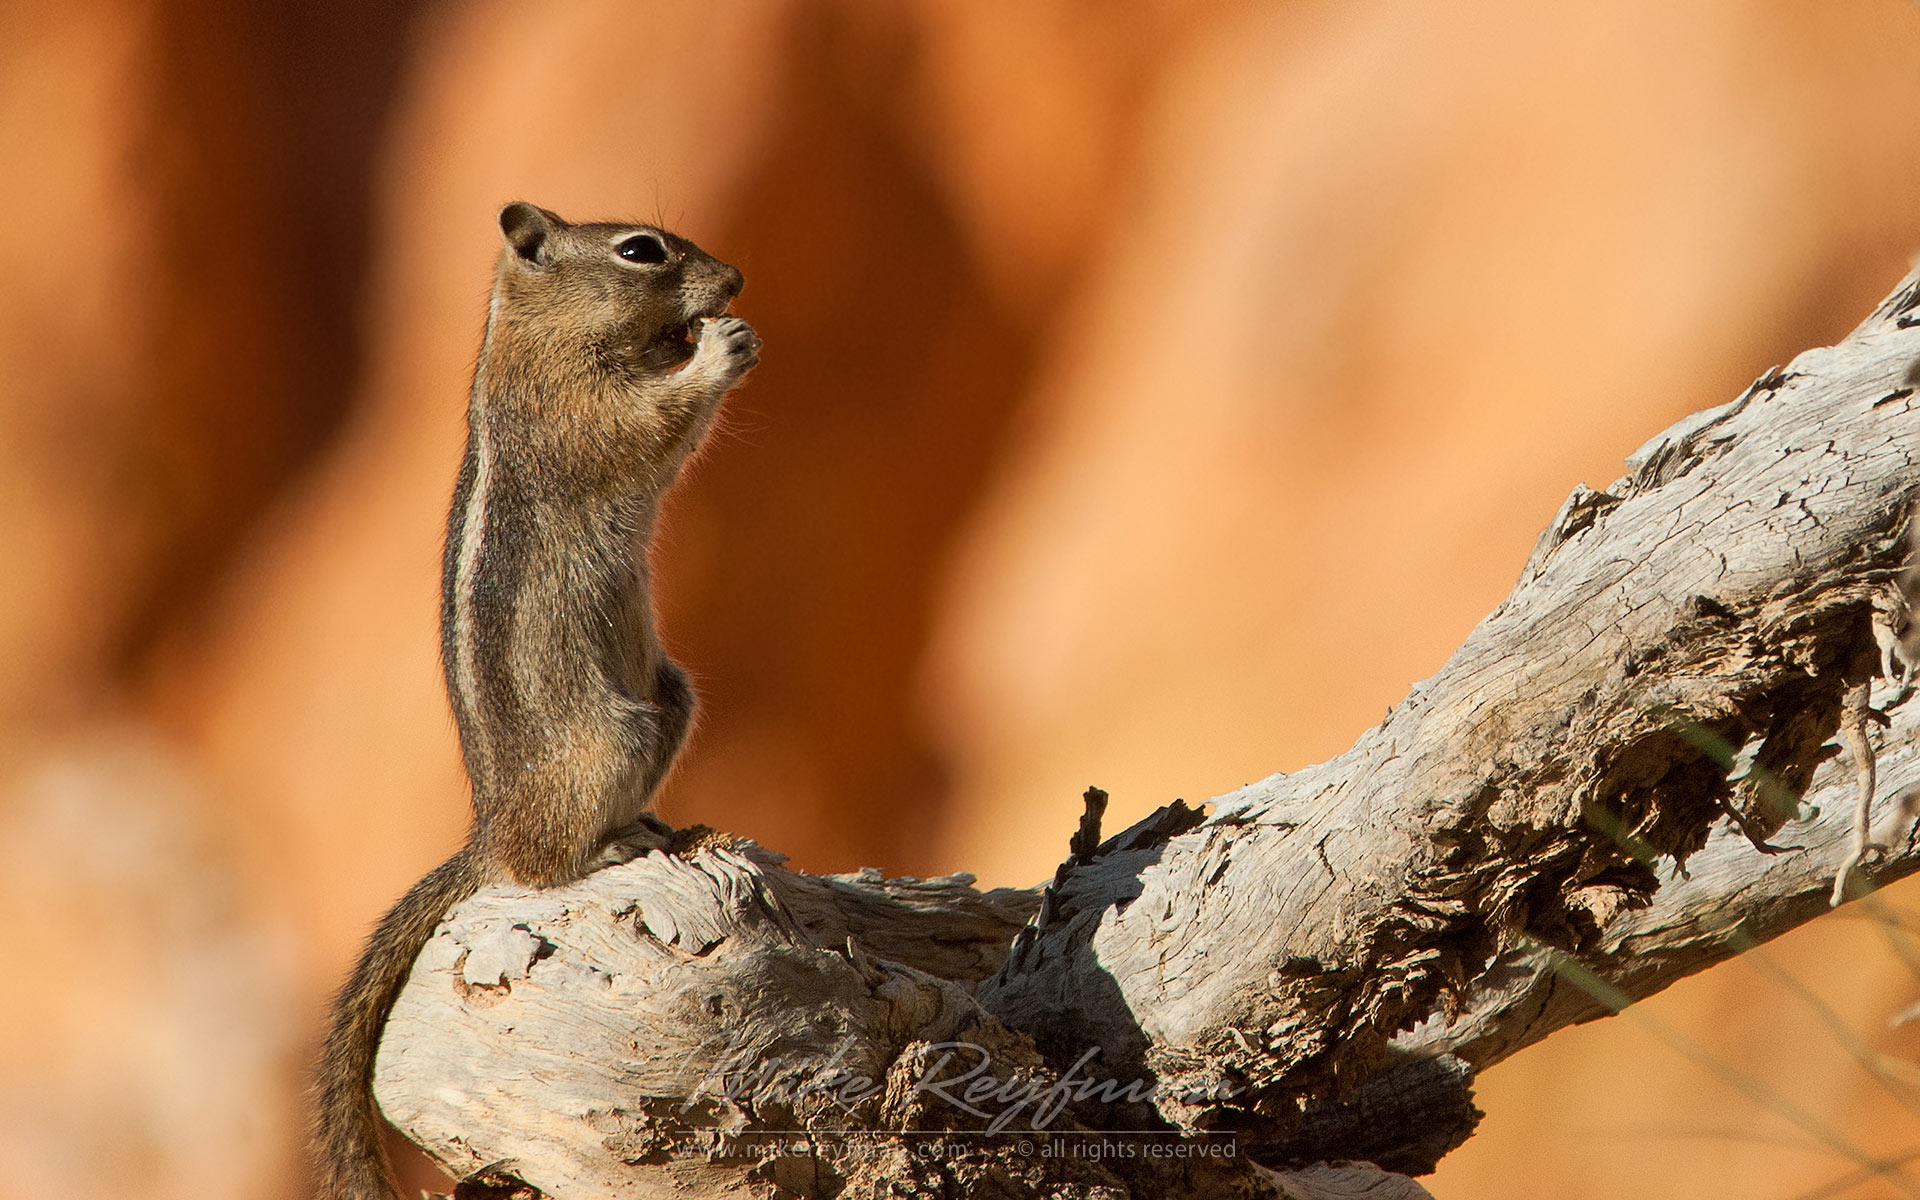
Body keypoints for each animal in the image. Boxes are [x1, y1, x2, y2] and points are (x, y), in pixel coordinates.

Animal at [315, 201, 759, 1200]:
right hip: (604, 742)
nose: (736, 282)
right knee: (542, 865)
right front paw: (722, 347)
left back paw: (664, 827)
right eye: (641, 250)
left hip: (668, 698)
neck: (533, 334)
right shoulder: (579, 411)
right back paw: (609, 847)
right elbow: (654, 423)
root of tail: (488, 831)